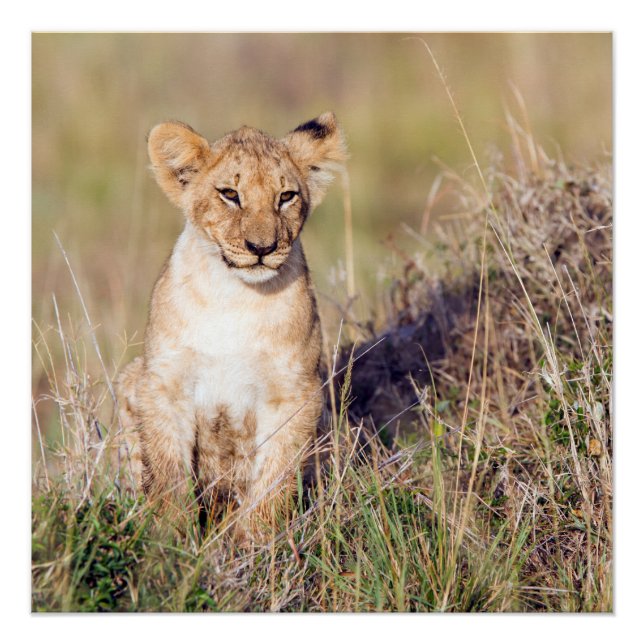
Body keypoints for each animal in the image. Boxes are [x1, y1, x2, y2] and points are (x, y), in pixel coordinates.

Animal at [114, 113, 347, 540]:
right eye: (230, 194)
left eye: (286, 196)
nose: (262, 248)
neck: (235, 297)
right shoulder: (163, 384)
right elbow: (168, 474)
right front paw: (170, 541)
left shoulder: (295, 392)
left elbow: (274, 477)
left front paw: (255, 542)